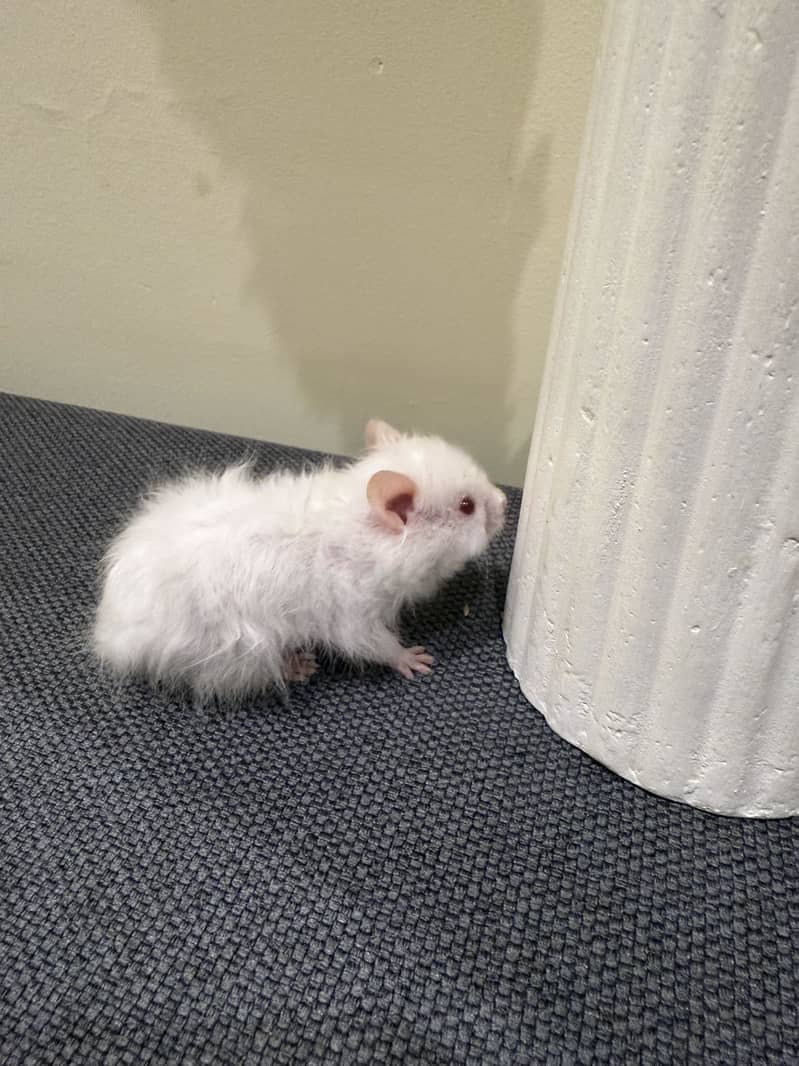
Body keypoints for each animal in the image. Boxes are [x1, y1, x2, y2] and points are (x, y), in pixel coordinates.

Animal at [93, 418, 506, 699]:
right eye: (466, 506)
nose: (505, 502)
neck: (365, 534)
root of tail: (111, 631)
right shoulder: (353, 613)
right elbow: (374, 645)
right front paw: (415, 659)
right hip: (238, 653)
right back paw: (299, 667)